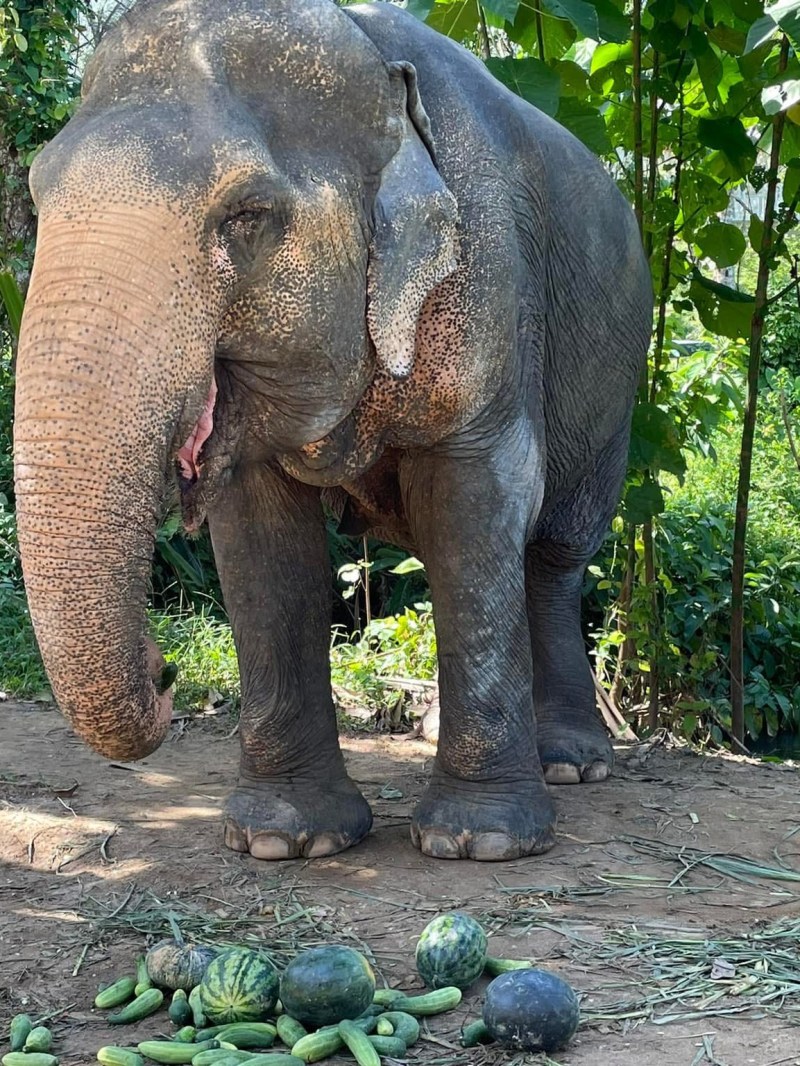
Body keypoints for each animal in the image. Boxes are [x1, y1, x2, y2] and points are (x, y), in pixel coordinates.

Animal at [13, 0, 652, 863]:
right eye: (36, 197)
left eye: (246, 216)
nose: (163, 668)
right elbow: (265, 548)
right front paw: (284, 840)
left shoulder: (489, 274)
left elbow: (480, 497)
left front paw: (480, 842)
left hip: (616, 382)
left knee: (553, 553)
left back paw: (572, 766)